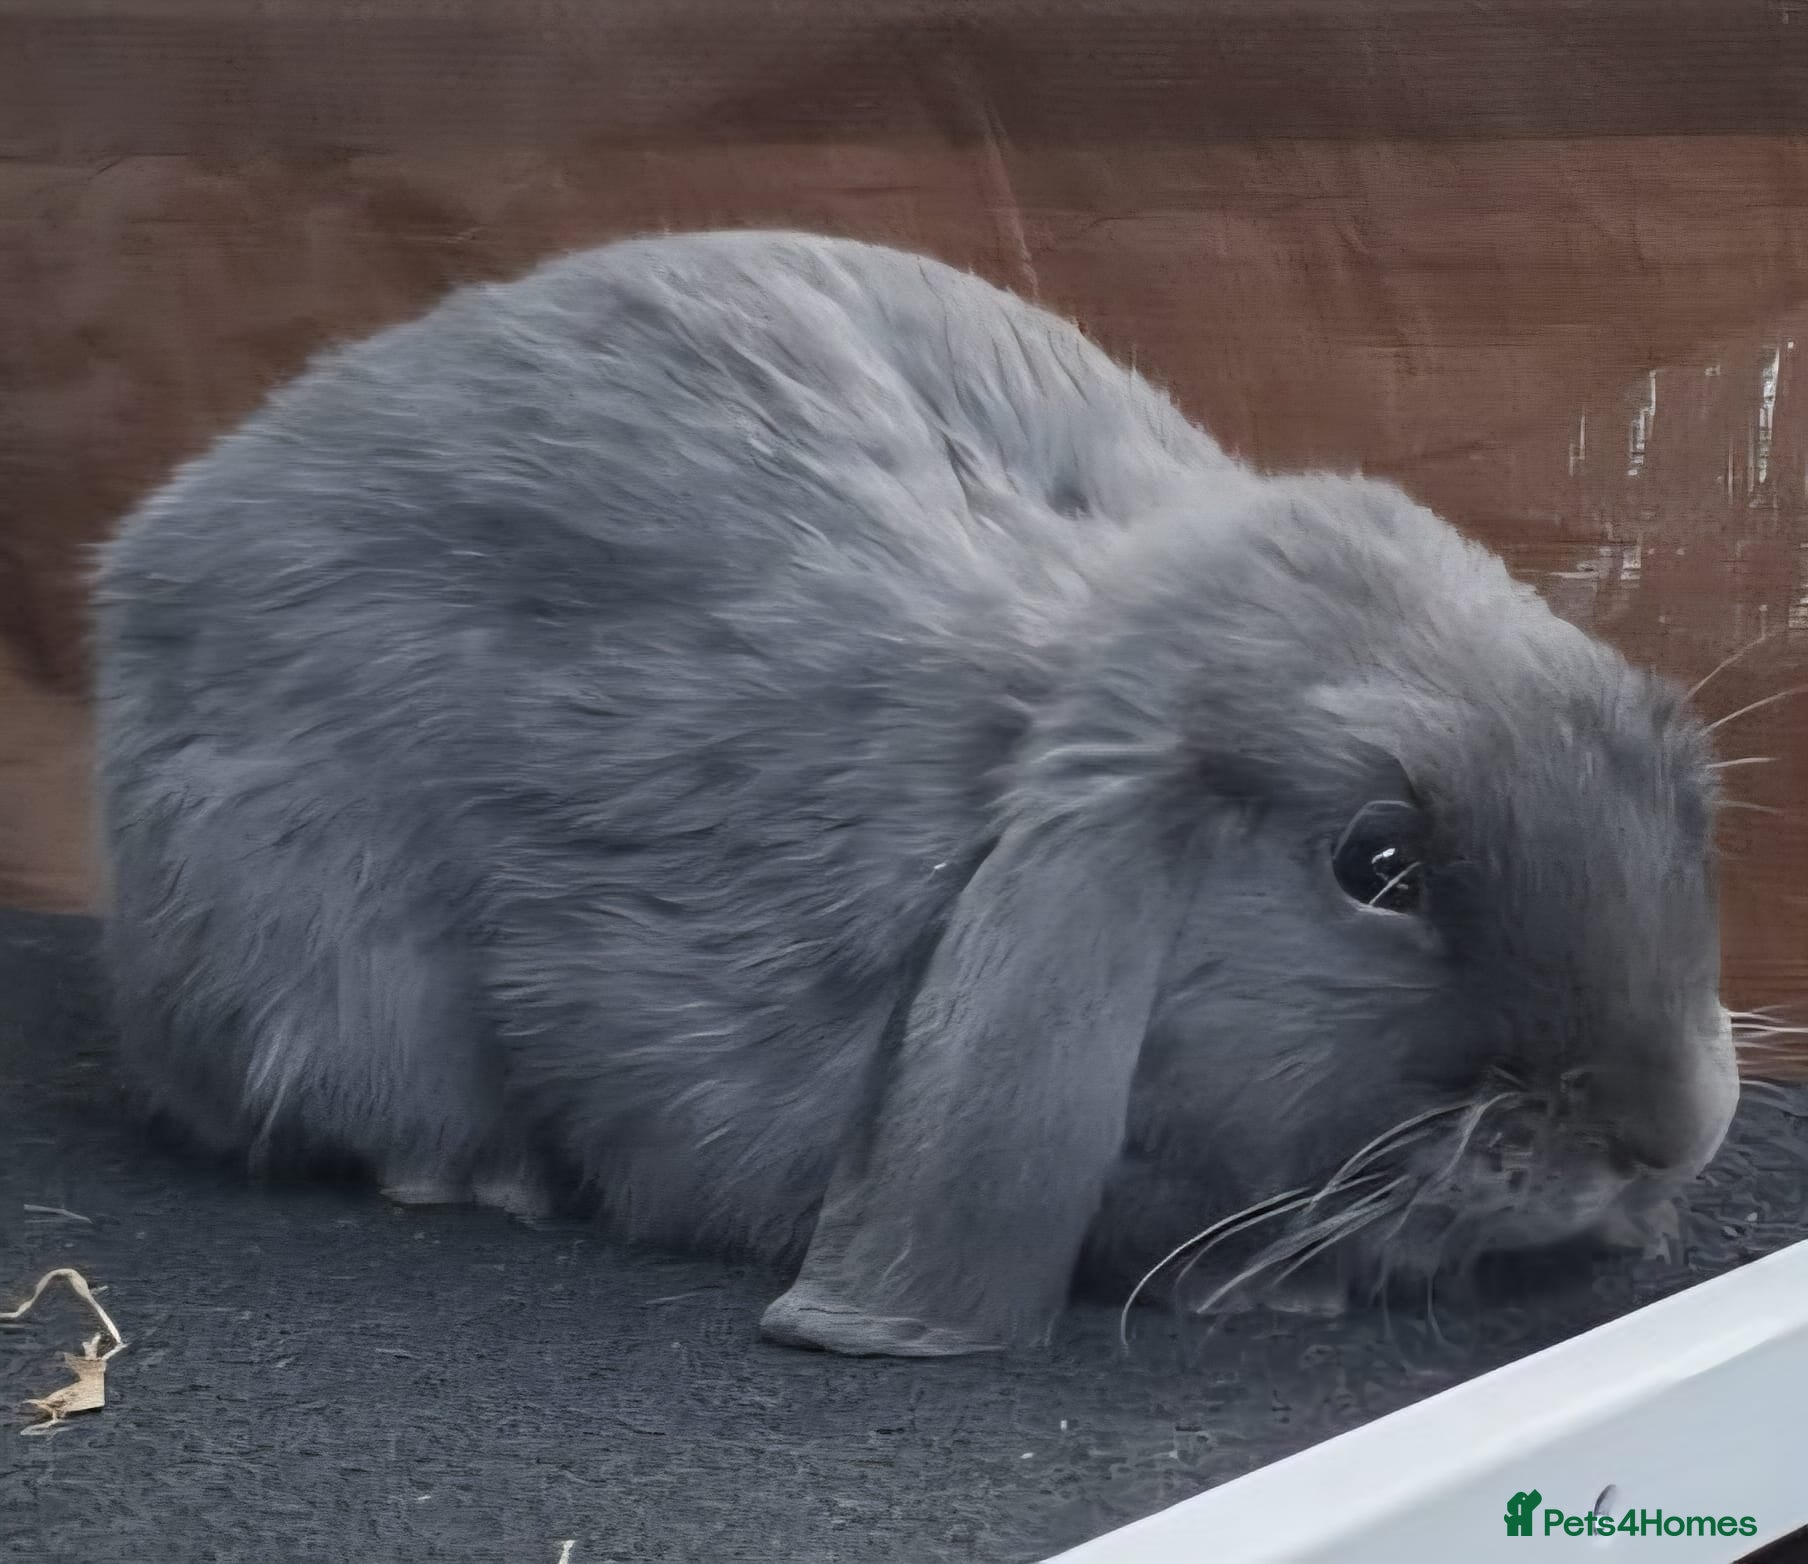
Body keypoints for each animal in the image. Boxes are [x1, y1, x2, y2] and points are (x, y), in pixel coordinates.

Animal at [90, 229, 1739, 1358]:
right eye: (1378, 863)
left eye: (1680, 789)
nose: (1668, 1133)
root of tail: (152, 553)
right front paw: (1274, 1290)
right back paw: (480, 1180)